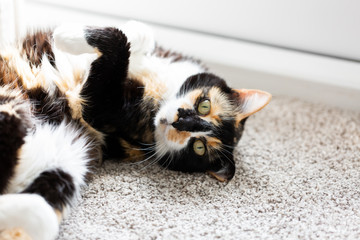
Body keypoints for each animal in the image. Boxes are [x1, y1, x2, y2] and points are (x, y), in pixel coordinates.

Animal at [0, 21, 270, 239]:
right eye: (205, 106)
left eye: (199, 147)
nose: (180, 122)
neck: (160, 91)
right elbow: (141, 32)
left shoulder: (104, 111)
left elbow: (118, 43)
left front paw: (64, 34)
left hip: (65, 150)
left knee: (39, 207)